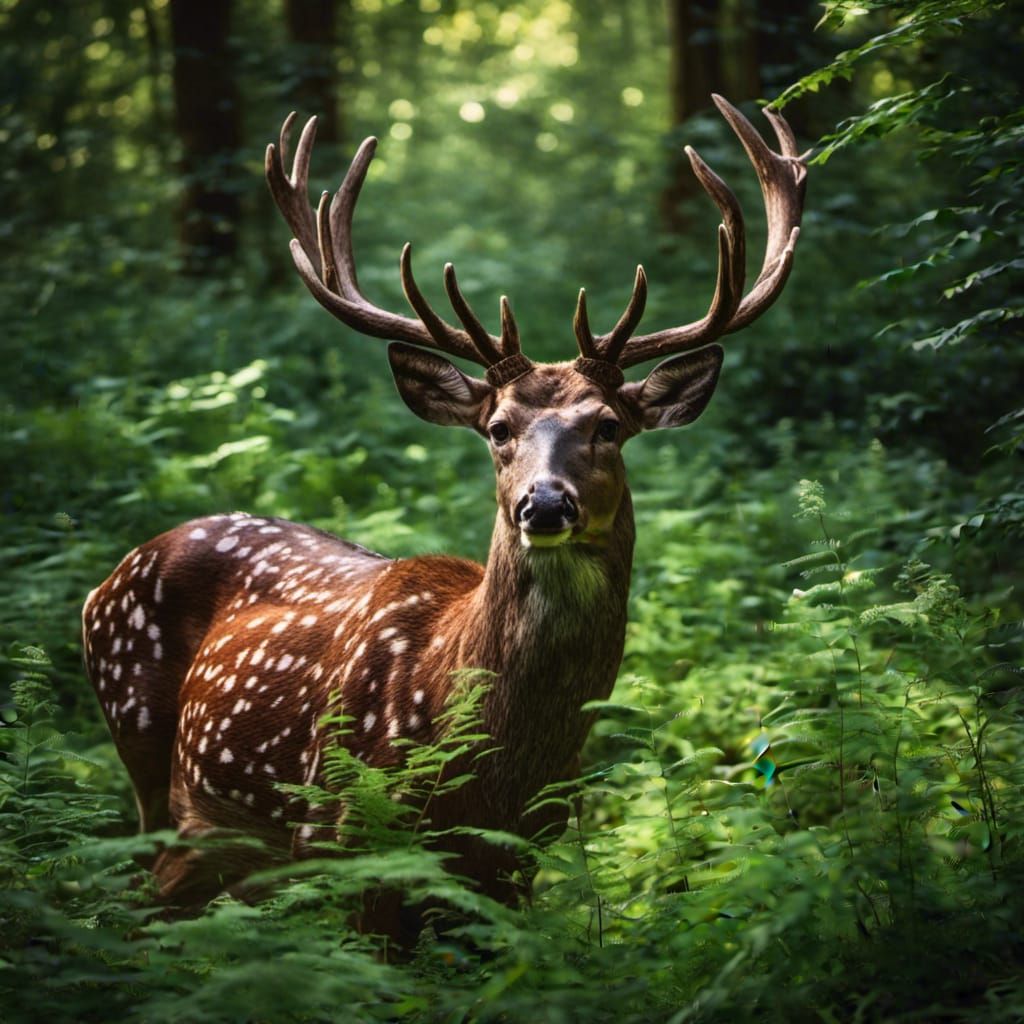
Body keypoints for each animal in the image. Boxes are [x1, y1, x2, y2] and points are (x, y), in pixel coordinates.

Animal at [82, 95, 806, 938]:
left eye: (608, 426)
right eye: (497, 428)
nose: (544, 502)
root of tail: (107, 579)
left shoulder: (520, 856)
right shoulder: (338, 832)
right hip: (143, 743)